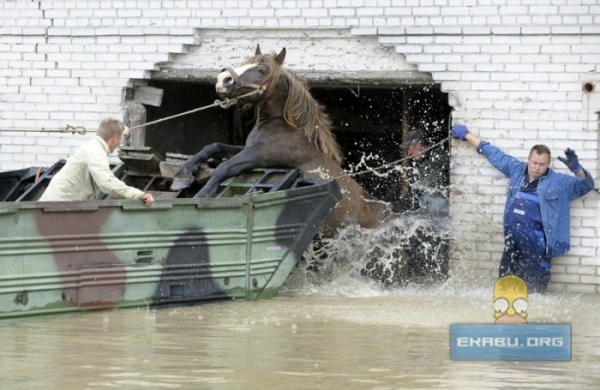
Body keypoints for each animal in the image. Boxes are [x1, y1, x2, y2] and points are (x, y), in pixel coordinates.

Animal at [170, 45, 394, 235]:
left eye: (262, 70)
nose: (223, 80)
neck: (283, 127)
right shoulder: (247, 148)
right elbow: (213, 147)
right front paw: (183, 175)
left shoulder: (258, 155)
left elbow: (223, 168)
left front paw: (201, 196)